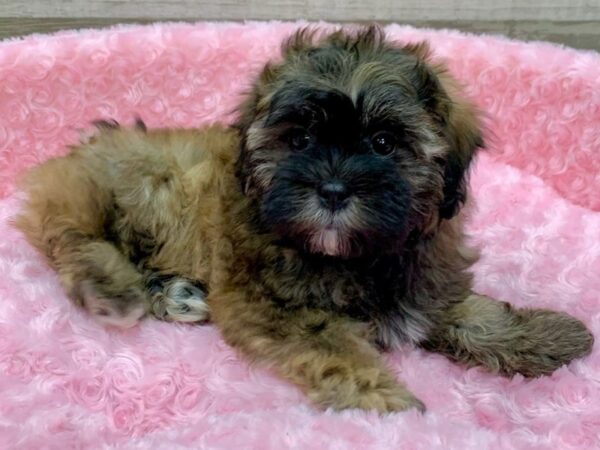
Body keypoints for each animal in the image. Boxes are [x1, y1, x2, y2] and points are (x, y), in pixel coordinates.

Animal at [14, 26, 592, 414]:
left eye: (385, 142)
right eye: (300, 140)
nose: (333, 190)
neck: (358, 256)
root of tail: (67, 161)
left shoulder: (426, 275)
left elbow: (470, 313)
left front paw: (544, 336)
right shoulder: (273, 306)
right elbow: (331, 346)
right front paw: (385, 406)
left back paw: (173, 294)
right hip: (136, 189)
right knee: (77, 239)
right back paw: (114, 288)